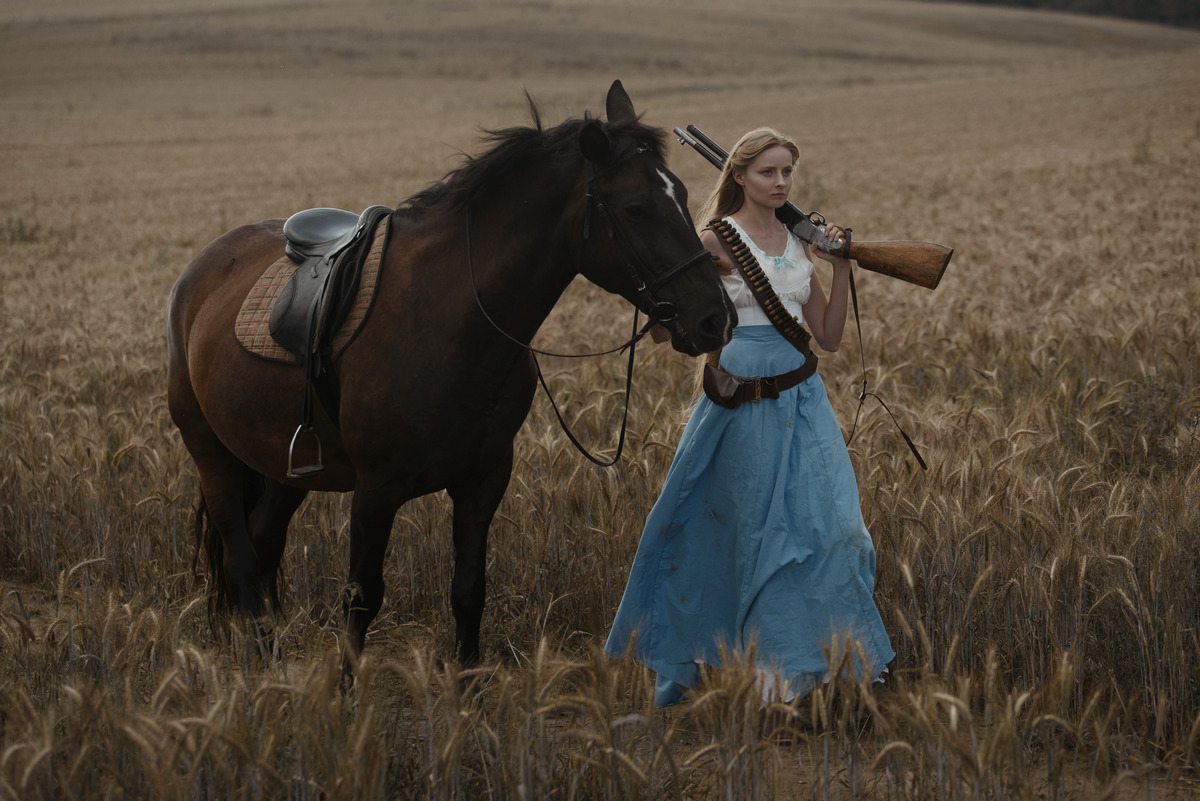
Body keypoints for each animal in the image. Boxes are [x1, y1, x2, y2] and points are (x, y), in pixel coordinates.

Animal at [166, 82, 729, 671]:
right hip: (210, 451)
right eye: (636, 208)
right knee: (241, 558)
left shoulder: (484, 478)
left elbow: (468, 591)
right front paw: (344, 688)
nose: (715, 319)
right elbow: (362, 596)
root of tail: (202, 269)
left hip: (282, 466)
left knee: (264, 543)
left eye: (682, 195)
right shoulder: (376, 488)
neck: (451, 316)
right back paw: (263, 660)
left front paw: (467, 682)